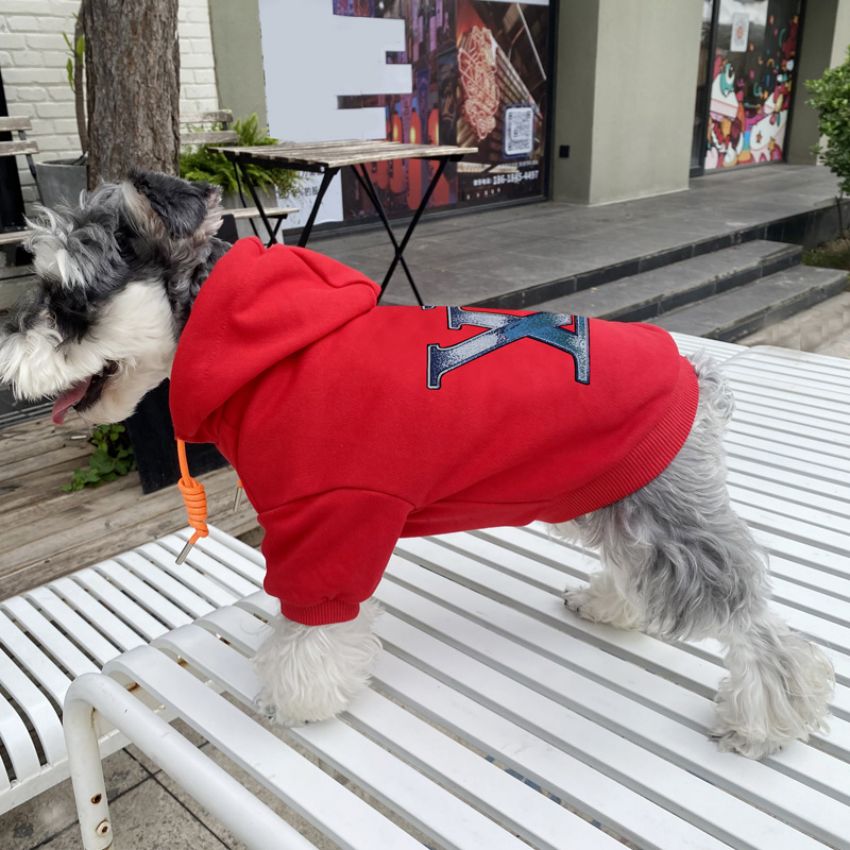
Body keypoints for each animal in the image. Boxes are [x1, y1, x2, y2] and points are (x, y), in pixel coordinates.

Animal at [0, 171, 832, 756]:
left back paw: (768, 721)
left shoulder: (325, 525)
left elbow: (310, 630)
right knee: (636, 569)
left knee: (754, 621)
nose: (8, 363)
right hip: (612, 495)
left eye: (68, 302)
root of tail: (699, 372)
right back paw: (609, 608)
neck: (259, 349)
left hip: (667, 519)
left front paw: (294, 702)